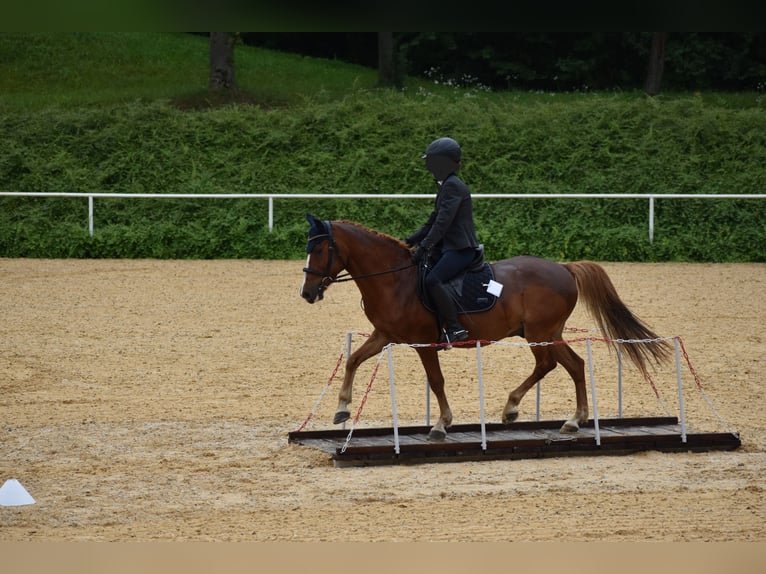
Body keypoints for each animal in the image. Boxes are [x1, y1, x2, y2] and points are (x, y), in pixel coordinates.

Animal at [300, 214, 672, 444]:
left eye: (319, 248)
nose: (307, 293)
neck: (395, 279)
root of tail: (564, 268)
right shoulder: (385, 336)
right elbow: (353, 360)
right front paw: (342, 407)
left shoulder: (423, 343)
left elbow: (436, 381)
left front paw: (441, 424)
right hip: (548, 333)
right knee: (573, 365)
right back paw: (570, 419)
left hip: (540, 334)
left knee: (550, 364)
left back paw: (521, 409)